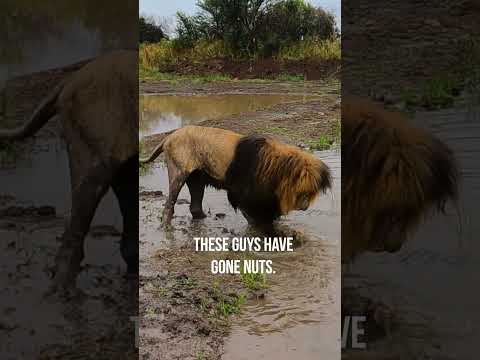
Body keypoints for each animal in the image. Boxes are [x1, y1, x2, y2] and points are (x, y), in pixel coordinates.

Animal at [141, 126, 332, 228]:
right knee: (169, 206)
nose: (305, 207)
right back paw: (166, 228)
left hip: (197, 178)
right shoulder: (243, 193)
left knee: (195, 206)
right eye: (303, 192)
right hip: (178, 173)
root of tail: (169, 136)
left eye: (312, 193)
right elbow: (252, 216)